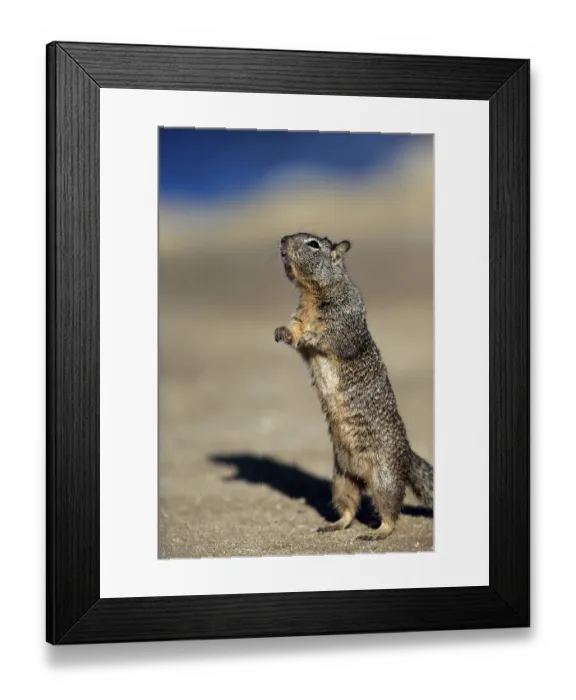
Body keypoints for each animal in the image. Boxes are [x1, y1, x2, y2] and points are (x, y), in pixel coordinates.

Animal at [274, 232, 433, 540]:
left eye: (313, 244)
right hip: (341, 479)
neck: (314, 293)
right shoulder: (299, 316)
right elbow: (295, 332)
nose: (283, 240)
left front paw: (311, 336)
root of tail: (407, 454)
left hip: (384, 476)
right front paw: (281, 332)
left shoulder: (345, 317)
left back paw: (377, 532)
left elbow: (331, 337)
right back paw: (333, 525)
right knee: (349, 507)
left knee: (390, 510)